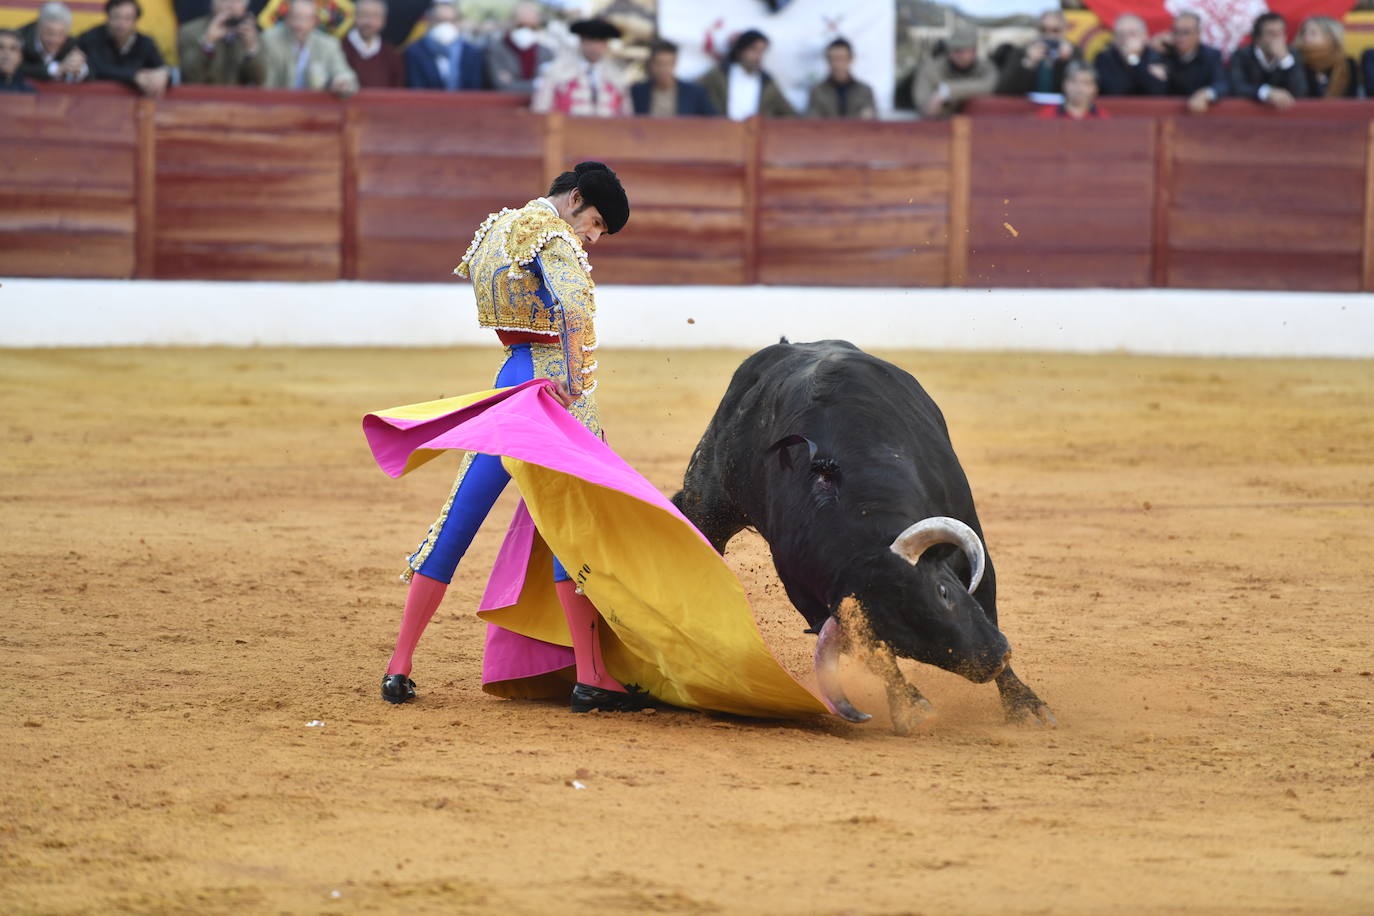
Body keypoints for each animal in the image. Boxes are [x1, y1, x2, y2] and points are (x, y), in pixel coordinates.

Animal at [673, 340, 1049, 736]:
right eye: (902, 645)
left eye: (944, 593)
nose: (992, 661)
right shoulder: (814, 601)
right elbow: (874, 659)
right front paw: (910, 707)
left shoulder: (970, 542)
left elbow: (987, 606)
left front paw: (1026, 706)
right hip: (708, 506)